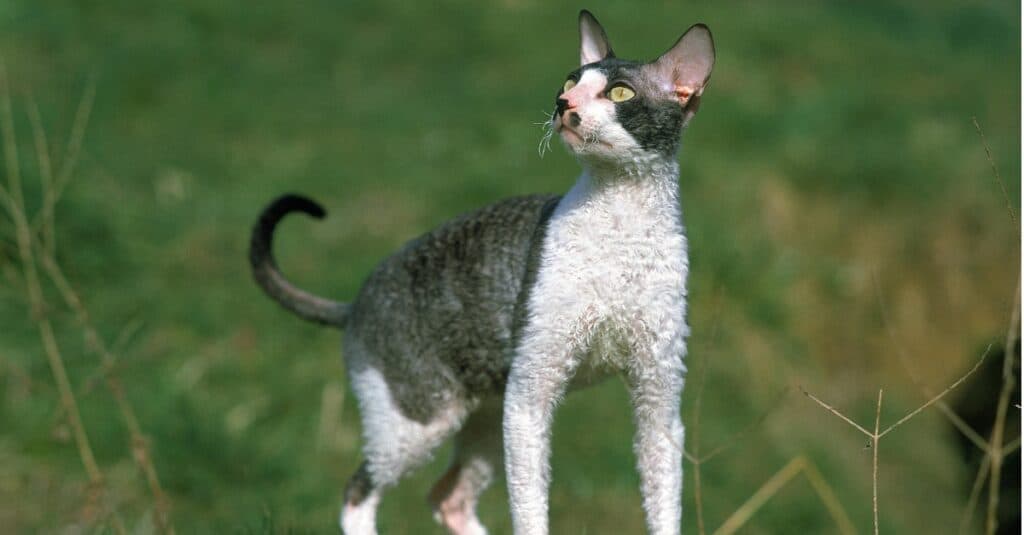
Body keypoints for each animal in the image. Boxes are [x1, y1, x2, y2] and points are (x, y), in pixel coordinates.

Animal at [247, 9, 712, 532]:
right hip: (421, 418)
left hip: (490, 413)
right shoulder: (532, 390)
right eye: (570, 81)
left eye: (619, 94)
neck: (621, 227)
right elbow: (530, 511)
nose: (562, 103)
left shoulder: (659, 396)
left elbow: (664, 505)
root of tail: (357, 301)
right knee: (358, 491)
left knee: (447, 496)